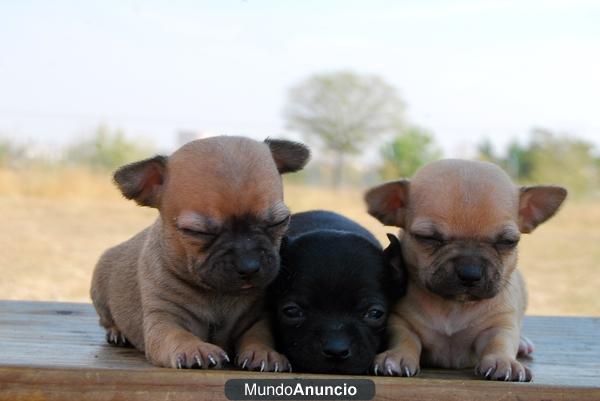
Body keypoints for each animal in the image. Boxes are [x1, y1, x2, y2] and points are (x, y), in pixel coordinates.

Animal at [91, 135, 312, 368]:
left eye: (279, 222)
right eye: (197, 232)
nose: (249, 265)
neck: (218, 294)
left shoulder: (257, 318)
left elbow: (260, 335)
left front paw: (265, 353)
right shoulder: (164, 320)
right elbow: (178, 335)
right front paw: (194, 348)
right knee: (106, 319)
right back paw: (117, 332)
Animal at [366, 158, 568, 380]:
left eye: (507, 242)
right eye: (428, 238)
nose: (470, 272)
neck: (454, 307)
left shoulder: (498, 325)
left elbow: (499, 342)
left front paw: (503, 361)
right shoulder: (401, 322)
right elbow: (405, 339)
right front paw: (397, 356)